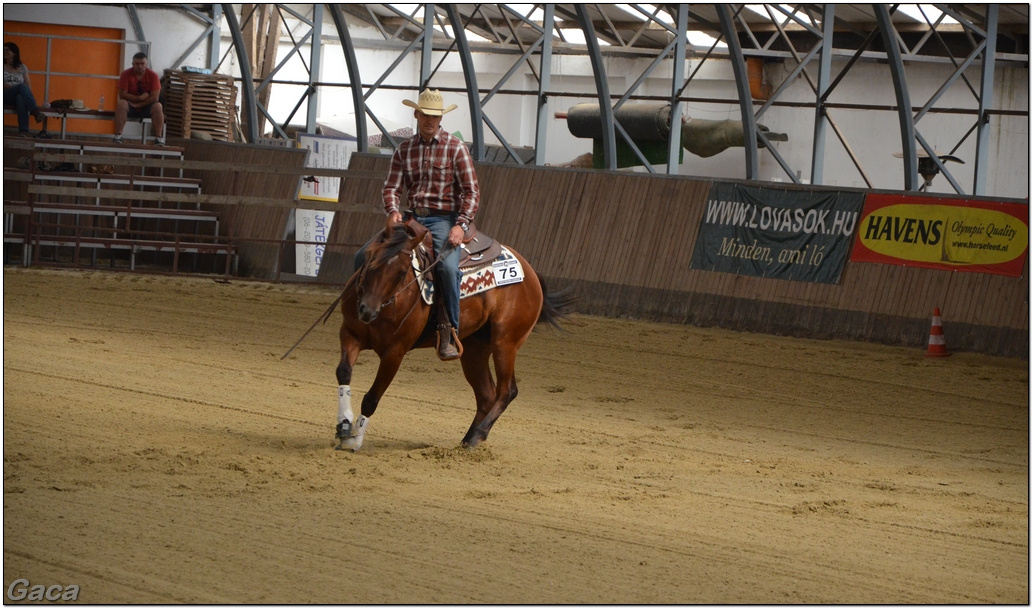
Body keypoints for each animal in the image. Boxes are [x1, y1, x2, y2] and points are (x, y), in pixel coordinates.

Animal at [334, 221, 574, 452]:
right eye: (370, 258)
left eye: (402, 272)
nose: (367, 310)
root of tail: (531, 274)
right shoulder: (350, 333)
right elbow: (344, 371)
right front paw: (344, 425)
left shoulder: (395, 352)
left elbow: (372, 397)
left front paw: (354, 440)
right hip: (474, 350)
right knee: (487, 395)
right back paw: (466, 441)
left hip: (505, 343)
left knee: (507, 391)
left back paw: (477, 436)